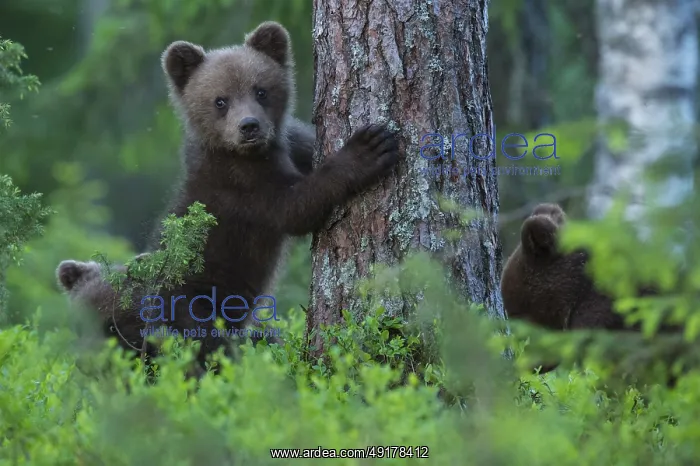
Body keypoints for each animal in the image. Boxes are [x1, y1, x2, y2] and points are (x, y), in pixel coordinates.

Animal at [61, 21, 400, 372]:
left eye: (260, 90)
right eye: (220, 100)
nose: (249, 126)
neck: (247, 153)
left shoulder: (289, 144)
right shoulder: (241, 189)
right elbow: (295, 206)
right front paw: (369, 147)